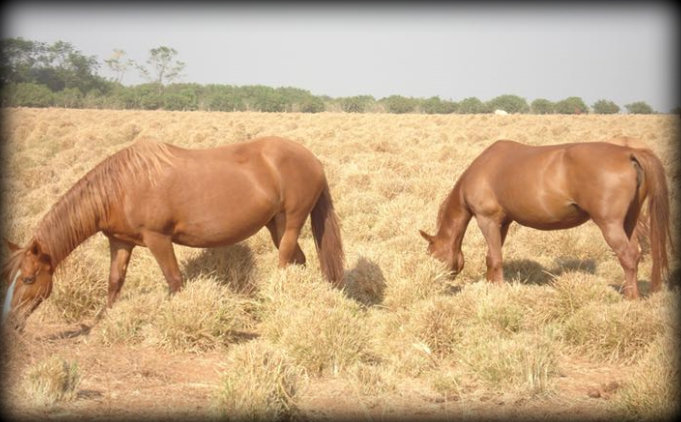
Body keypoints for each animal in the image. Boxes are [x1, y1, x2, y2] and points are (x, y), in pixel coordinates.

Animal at [3, 137, 346, 328]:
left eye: (29, 279)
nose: (12, 321)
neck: (121, 186)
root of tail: (312, 159)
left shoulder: (158, 239)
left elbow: (174, 280)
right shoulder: (121, 242)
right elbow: (115, 282)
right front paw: (103, 321)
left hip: (291, 222)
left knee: (285, 261)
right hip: (275, 224)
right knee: (298, 260)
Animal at [420, 140, 668, 298]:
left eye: (432, 254)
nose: (434, 281)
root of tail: (629, 153)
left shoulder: (486, 220)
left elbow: (495, 258)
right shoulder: (503, 223)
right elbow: (492, 256)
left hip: (610, 224)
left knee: (628, 255)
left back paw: (631, 298)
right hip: (629, 222)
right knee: (635, 253)